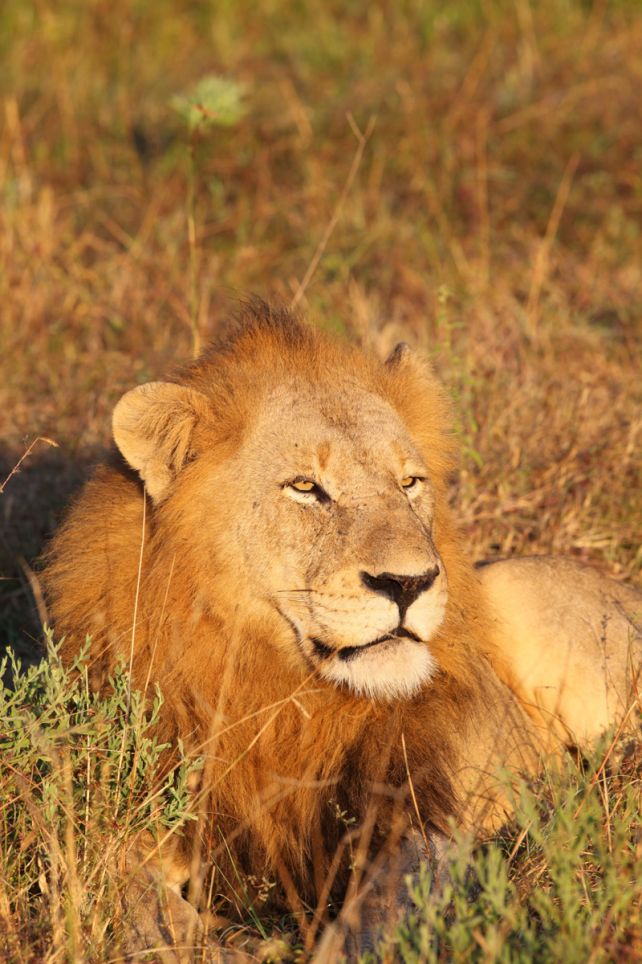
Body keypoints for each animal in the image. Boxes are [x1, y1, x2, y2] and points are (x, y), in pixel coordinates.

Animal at [46, 302, 640, 956]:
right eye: (306, 488)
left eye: (409, 483)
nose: (410, 582)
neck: (277, 690)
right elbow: (131, 903)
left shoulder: (416, 803)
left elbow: (384, 909)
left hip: (518, 588)